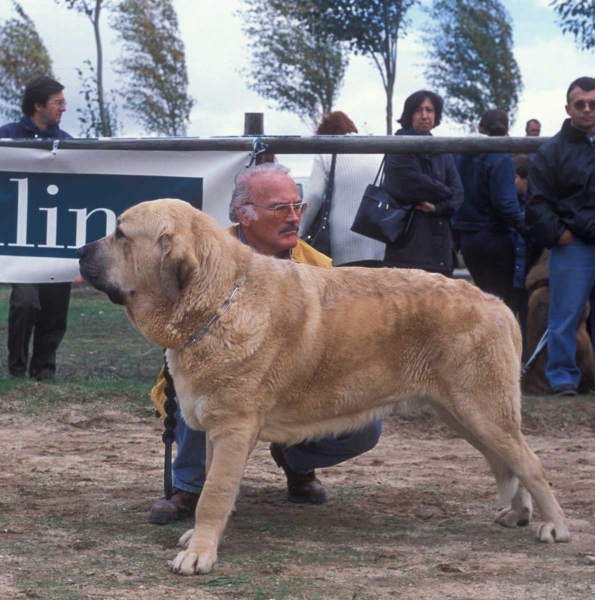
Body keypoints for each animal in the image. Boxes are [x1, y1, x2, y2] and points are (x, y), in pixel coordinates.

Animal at [77, 198, 572, 576]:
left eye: (121, 235)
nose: (79, 252)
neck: (218, 302)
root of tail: (496, 302)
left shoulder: (233, 428)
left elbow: (213, 496)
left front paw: (199, 554)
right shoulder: (219, 430)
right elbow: (213, 486)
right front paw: (201, 538)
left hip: (481, 409)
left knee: (529, 463)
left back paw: (555, 527)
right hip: (463, 414)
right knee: (507, 461)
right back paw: (519, 513)